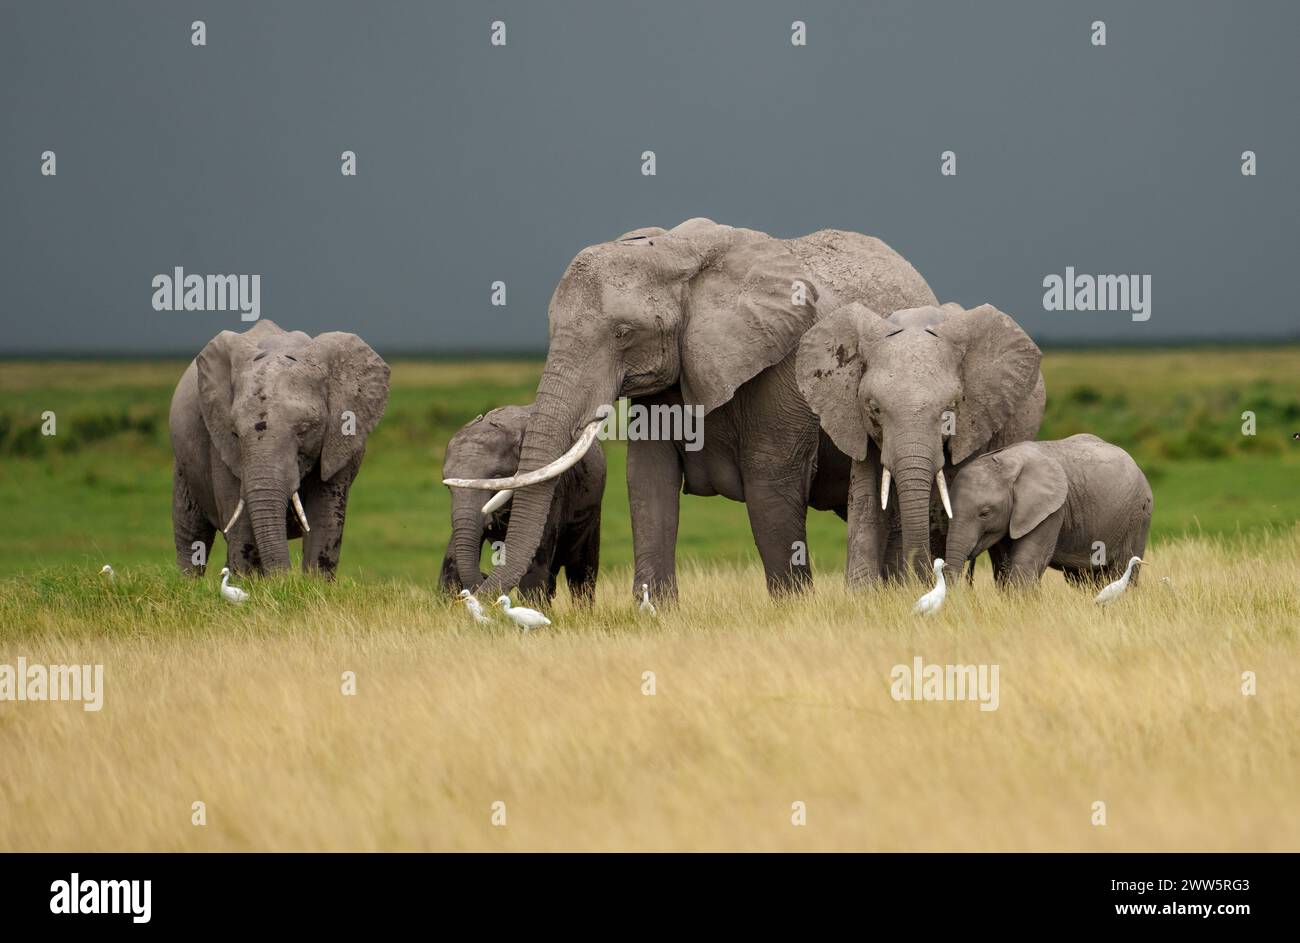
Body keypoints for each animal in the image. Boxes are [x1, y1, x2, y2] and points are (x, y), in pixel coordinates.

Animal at [165, 319, 384, 577]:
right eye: (235, 433)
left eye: (304, 430)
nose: (284, 577)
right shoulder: (219, 442)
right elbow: (240, 521)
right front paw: (251, 584)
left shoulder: (340, 438)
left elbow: (325, 518)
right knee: (192, 532)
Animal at [441, 218, 941, 603]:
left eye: (624, 333)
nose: (472, 594)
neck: (679, 255)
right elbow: (648, 481)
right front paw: (655, 613)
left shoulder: (785, 368)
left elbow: (770, 487)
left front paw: (793, 611)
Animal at [790, 301, 1045, 585]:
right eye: (874, 409)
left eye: (950, 410)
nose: (927, 573)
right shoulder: (857, 425)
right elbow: (866, 499)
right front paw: (864, 592)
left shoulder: (973, 424)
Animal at [941, 437, 1154, 585]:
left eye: (985, 513)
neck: (1005, 460)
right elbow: (1003, 565)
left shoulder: (1051, 510)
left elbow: (1026, 564)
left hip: (1138, 516)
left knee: (1121, 570)